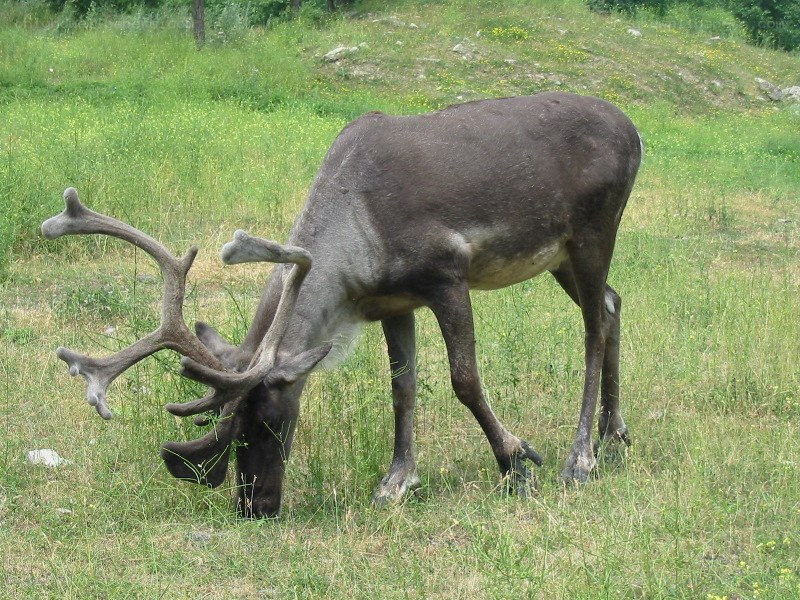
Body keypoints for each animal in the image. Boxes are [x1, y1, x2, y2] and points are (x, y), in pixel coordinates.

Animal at [42, 92, 641, 518]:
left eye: (269, 421)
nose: (254, 506)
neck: (356, 236)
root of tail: (634, 130)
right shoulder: (394, 301)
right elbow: (402, 389)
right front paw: (397, 481)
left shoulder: (447, 277)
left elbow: (464, 379)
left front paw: (515, 462)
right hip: (563, 256)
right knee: (613, 305)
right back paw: (615, 435)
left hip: (592, 233)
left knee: (592, 327)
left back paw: (579, 457)